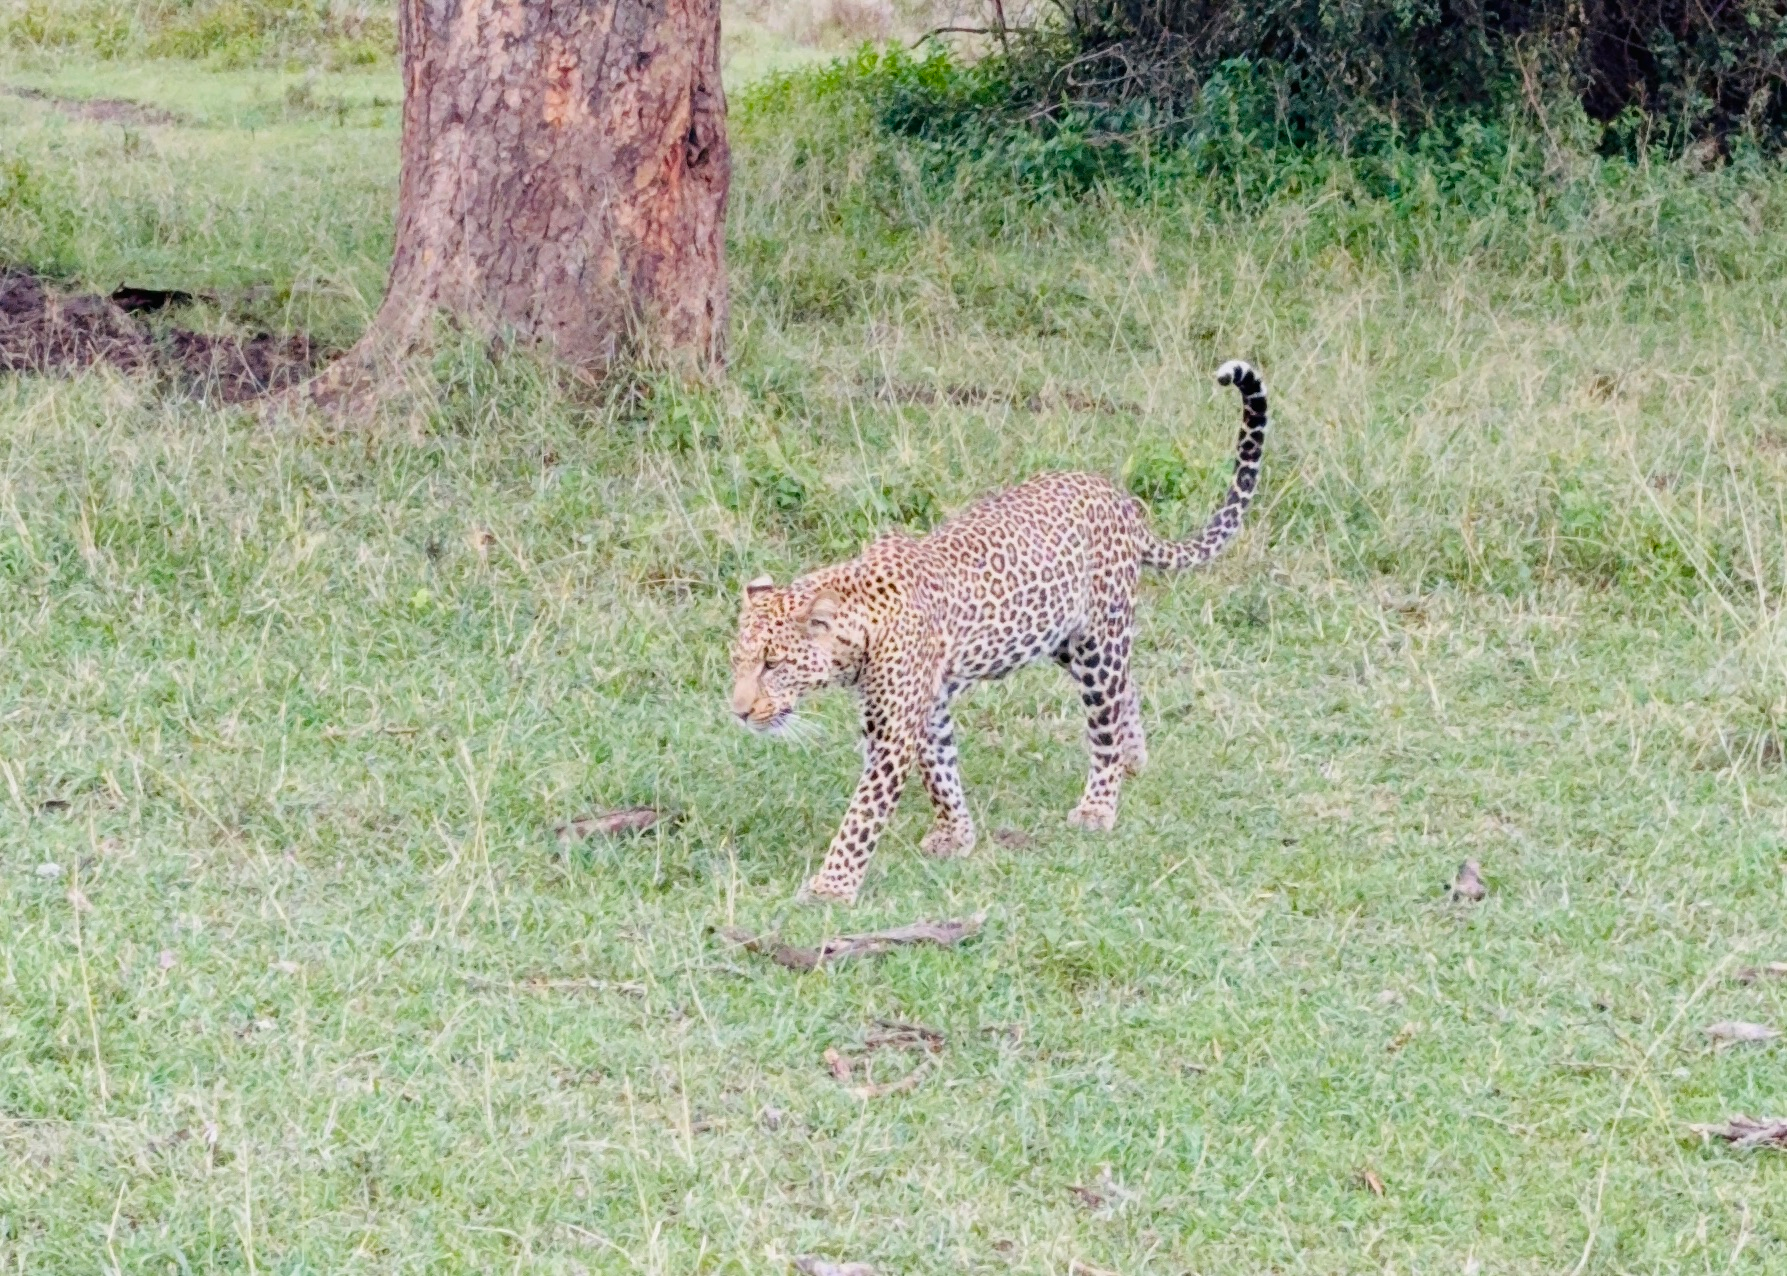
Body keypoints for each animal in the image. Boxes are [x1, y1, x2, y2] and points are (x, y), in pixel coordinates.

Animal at [729, 360, 1269, 903]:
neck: (861, 627)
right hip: (1062, 638)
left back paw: (1100, 802)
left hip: (1097, 641)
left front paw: (831, 887)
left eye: (774, 664)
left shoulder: (893, 732)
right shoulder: (930, 707)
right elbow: (940, 771)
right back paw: (1133, 760)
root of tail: (1121, 501)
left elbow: (862, 816)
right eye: (738, 662)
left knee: (1104, 719)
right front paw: (956, 835)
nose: (739, 712)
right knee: (1125, 690)